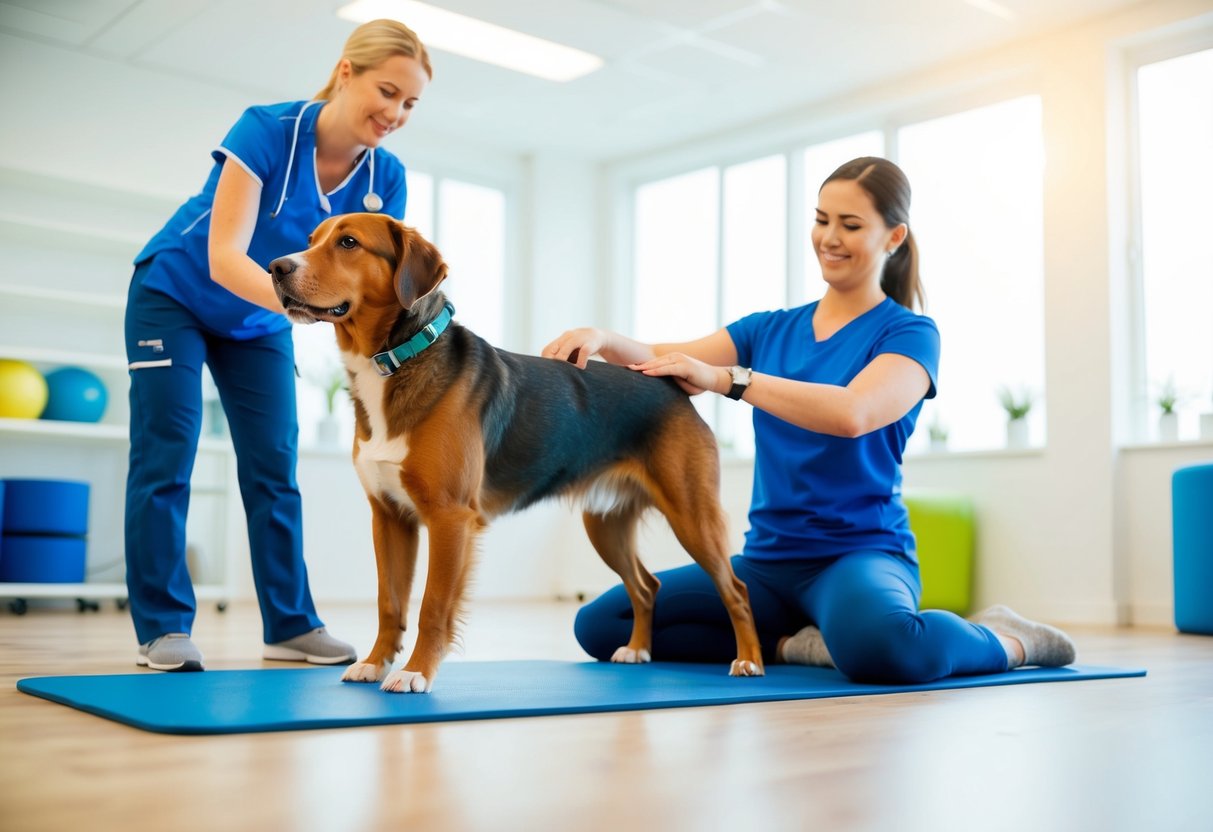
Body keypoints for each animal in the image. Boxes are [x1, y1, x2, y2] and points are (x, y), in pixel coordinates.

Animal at [270, 217, 761, 698]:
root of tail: (671, 386)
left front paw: (416, 673)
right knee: (645, 587)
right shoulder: (389, 517)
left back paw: (749, 661)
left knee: (736, 589)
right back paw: (638, 649)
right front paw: (374, 663)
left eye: (348, 243)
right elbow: (388, 602)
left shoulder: (449, 518)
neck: (397, 359)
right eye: (312, 239)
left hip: (692, 514)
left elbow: (432, 605)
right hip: (604, 523)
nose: (275, 267)